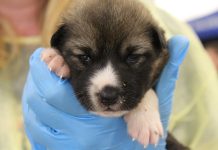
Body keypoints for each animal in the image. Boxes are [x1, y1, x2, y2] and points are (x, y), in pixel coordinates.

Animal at [41, 0, 169, 148]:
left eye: (133, 57)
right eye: (85, 57)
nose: (109, 96)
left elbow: (149, 91)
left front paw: (144, 120)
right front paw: (56, 58)